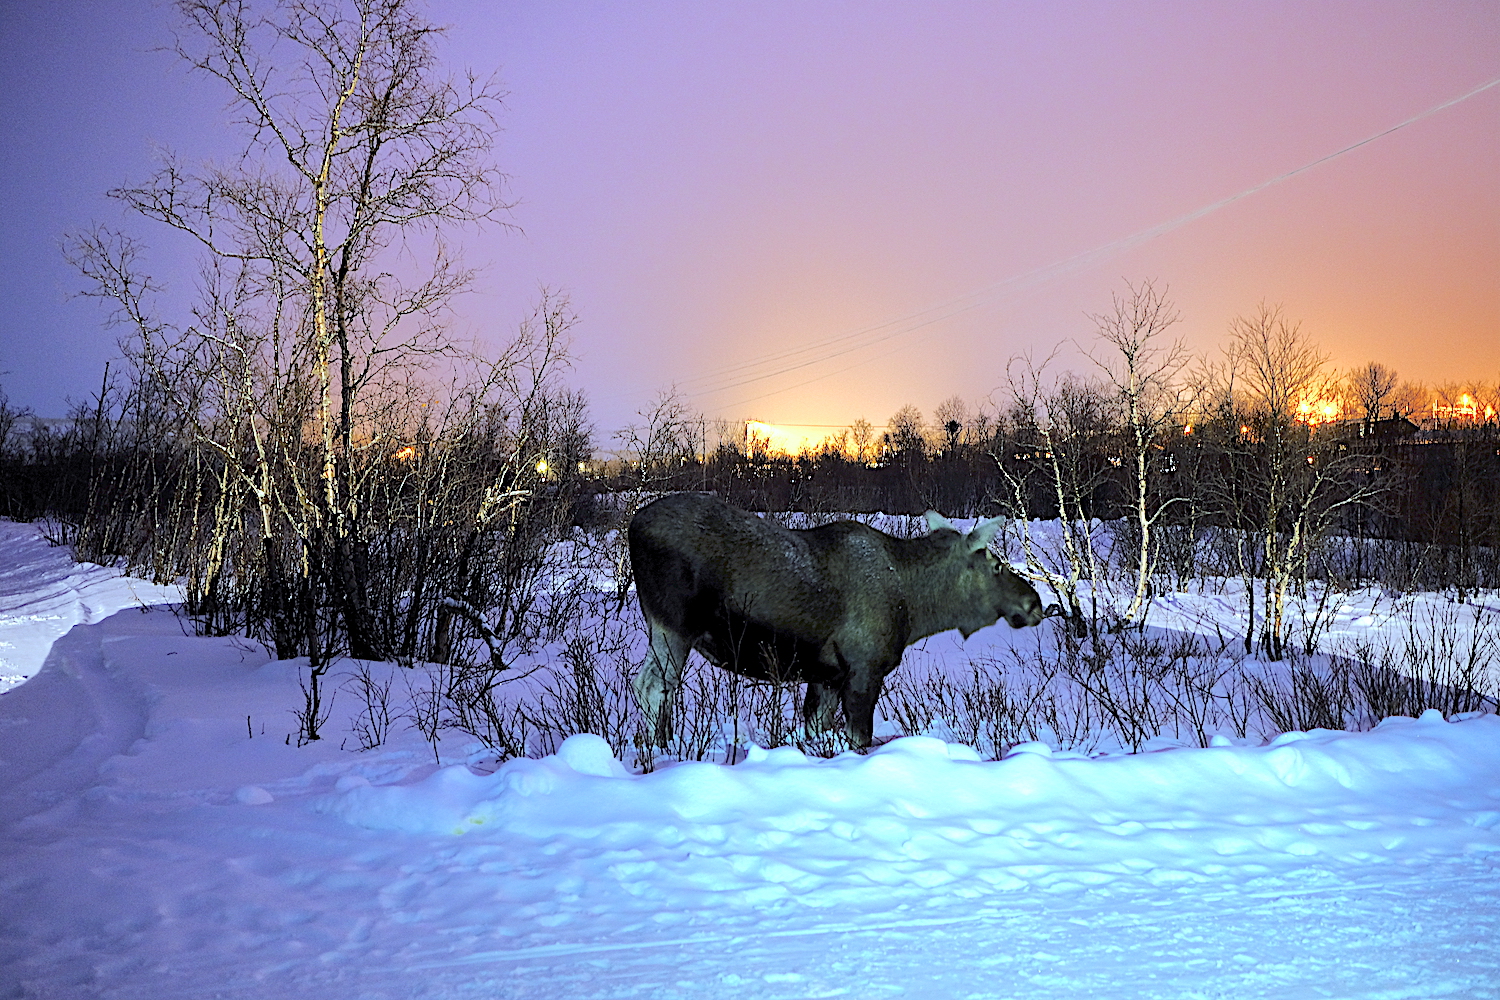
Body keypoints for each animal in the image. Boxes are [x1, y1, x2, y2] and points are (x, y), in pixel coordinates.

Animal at [624, 491, 1044, 749]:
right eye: (995, 564)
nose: (1035, 602)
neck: (915, 608)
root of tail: (633, 524)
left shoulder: (825, 676)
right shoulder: (863, 670)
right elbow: (860, 739)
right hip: (673, 626)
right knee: (651, 687)